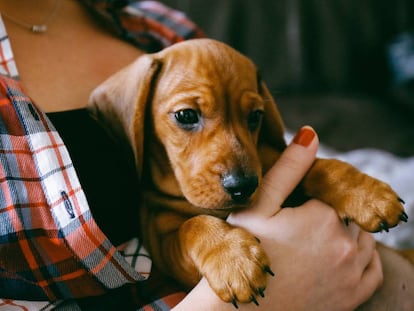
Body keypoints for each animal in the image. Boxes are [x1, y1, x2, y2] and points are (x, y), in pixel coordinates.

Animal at [86, 38, 410, 308]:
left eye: (255, 116)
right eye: (186, 115)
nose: (242, 186)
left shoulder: (272, 162)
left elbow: (321, 166)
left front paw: (367, 194)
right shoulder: (165, 247)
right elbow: (193, 225)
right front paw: (232, 257)